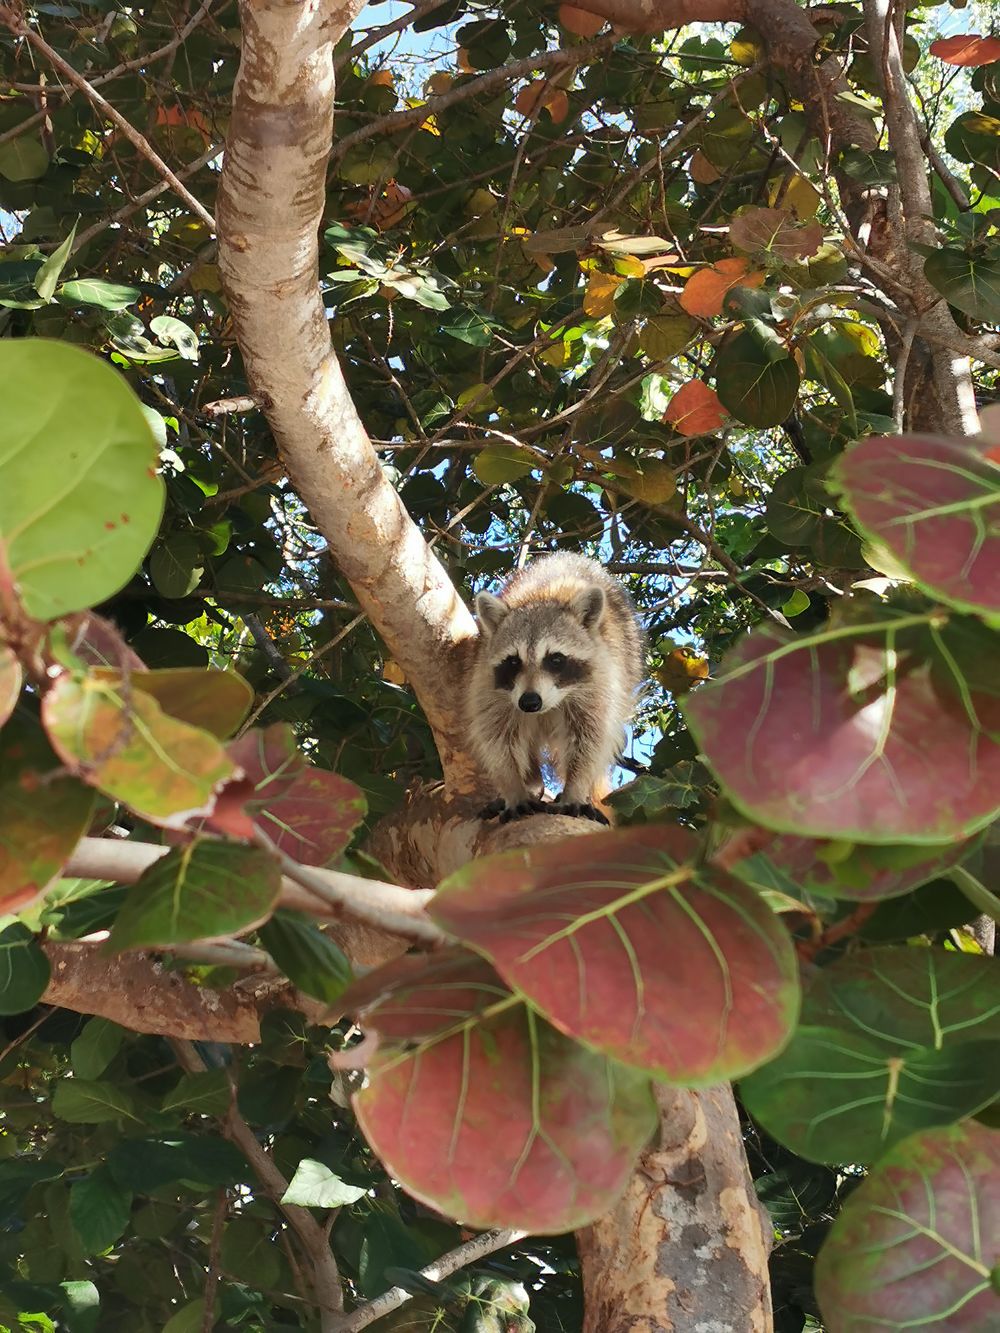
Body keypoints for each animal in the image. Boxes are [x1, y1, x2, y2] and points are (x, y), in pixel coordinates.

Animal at [466, 551, 645, 821]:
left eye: (556, 659)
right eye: (513, 661)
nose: (529, 702)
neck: (540, 598)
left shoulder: (600, 681)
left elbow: (591, 739)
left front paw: (575, 789)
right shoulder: (489, 686)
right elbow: (498, 738)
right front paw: (513, 789)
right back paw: (532, 782)